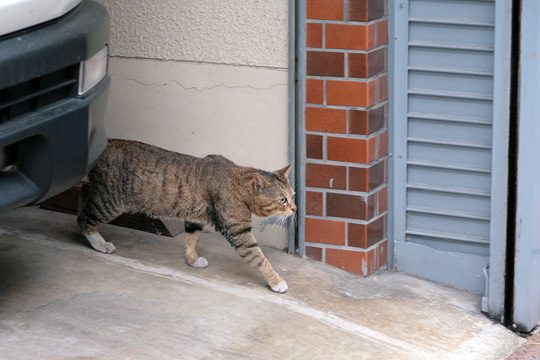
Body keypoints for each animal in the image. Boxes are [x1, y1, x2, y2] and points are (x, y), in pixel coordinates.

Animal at [77, 138, 296, 292]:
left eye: (293, 196)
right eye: (282, 200)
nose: (294, 209)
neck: (237, 180)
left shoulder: (194, 218)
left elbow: (191, 239)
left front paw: (192, 260)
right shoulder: (239, 232)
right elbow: (259, 258)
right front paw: (276, 281)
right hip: (109, 202)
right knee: (83, 220)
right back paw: (100, 244)